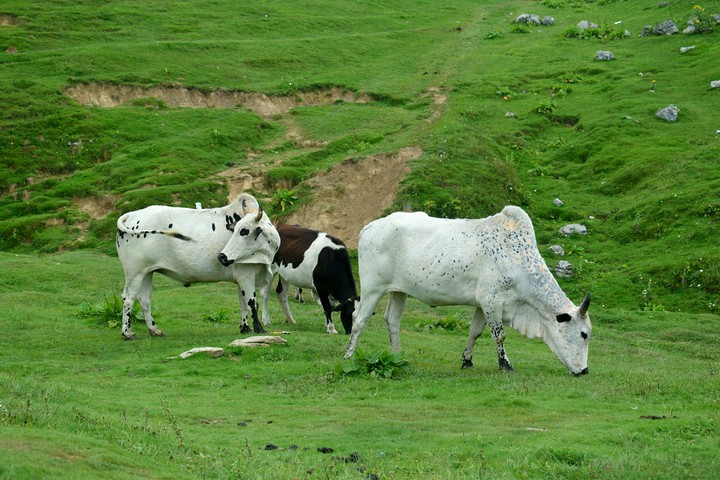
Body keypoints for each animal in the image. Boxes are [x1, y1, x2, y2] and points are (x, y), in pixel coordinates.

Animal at [116, 194, 280, 340]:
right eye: (238, 230)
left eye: (244, 231)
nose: (222, 257)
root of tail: (131, 215)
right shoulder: (246, 275)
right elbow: (252, 303)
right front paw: (259, 329)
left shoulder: (241, 278)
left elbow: (243, 303)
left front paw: (245, 328)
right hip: (134, 274)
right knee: (129, 298)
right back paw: (127, 333)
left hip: (146, 273)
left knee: (143, 300)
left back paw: (154, 330)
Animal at [344, 206, 592, 376]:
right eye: (584, 334)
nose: (584, 370)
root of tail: (369, 227)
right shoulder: (492, 301)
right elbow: (499, 335)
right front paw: (505, 364)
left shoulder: (483, 304)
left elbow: (475, 332)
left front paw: (467, 361)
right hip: (372, 289)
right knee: (359, 320)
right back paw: (348, 355)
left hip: (398, 291)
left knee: (392, 321)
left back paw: (398, 356)